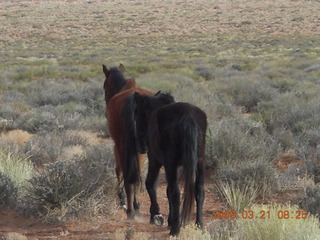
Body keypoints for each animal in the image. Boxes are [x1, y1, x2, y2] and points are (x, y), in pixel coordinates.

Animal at [102, 63, 152, 218]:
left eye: (104, 86)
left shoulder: (116, 146)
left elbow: (118, 170)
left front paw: (121, 199)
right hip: (141, 148)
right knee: (135, 175)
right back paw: (135, 206)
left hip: (122, 146)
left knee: (126, 173)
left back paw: (129, 209)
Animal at [133, 92, 206, 236]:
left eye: (137, 112)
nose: (141, 147)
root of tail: (187, 117)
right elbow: (167, 191)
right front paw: (170, 220)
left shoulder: (156, 162)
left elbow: (150, 184)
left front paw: (156, 215)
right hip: (199, 163)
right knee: (199, 191)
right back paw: (198, 225)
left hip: (170, 164)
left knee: (175, 193)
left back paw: (175, 230)